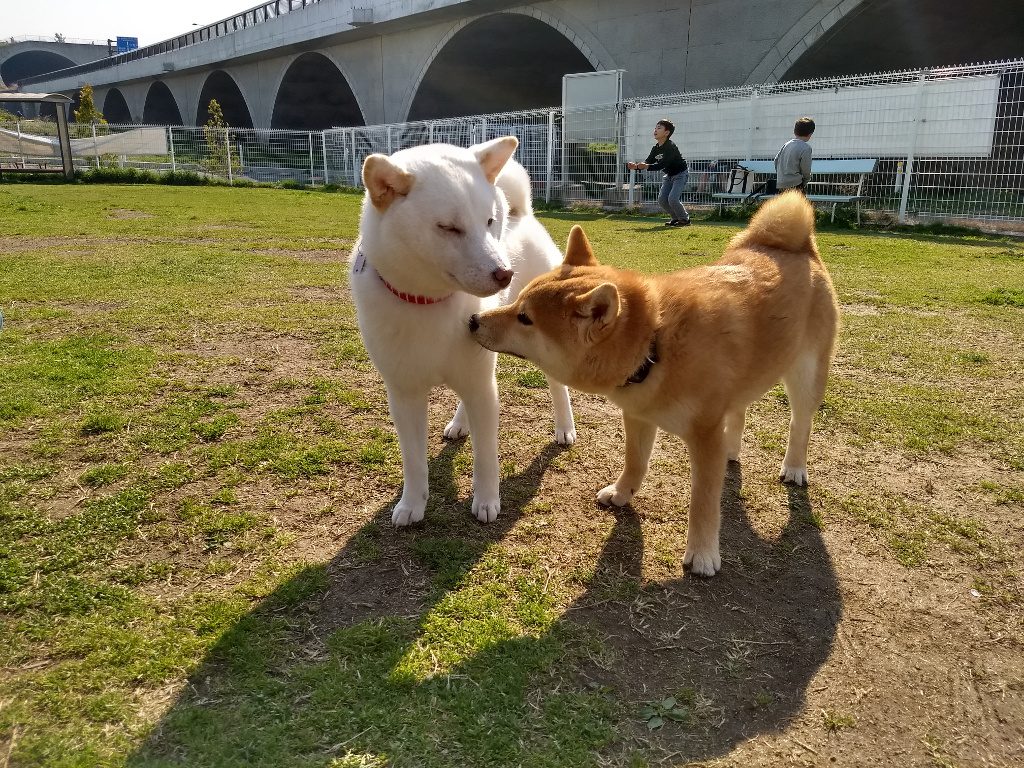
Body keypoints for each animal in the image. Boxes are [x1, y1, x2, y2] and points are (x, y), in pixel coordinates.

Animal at [352, 138, 577, 528]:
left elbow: (486, 455)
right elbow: (413, 460)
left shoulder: (481, 385)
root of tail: (520, 213)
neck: (428, 301)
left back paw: (564, 427)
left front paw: (487, 500)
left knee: (556, 386)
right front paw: (412, 504)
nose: (505, 274)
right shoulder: (404, 393)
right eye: (448, 228)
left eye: (488, 222)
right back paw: (461, 423)